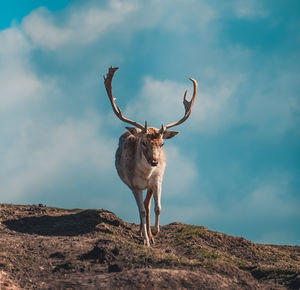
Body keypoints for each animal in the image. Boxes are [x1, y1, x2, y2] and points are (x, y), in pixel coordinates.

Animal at [103, 67, 197, 246]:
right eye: (143, 142)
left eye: (162, 143)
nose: (154, 161)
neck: (146, 175)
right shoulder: (134, 185)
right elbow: (141, 211)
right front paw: (146, 240)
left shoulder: (158, 180)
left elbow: (157, 207)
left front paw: (155, 232)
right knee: (142, 208)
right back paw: (142, 232)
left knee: (147, 205)